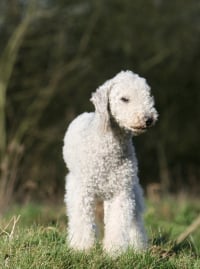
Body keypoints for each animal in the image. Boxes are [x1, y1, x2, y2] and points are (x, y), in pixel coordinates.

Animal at [62, 70, 158, 253]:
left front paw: (114, 251)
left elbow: (118, 222)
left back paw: (138, 247)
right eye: (124, 99)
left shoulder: (121, 191)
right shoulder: (82, 190)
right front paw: (81, 248)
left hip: (131, 188)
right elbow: (82, 221)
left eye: (148, 95)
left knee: (135, 220)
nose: (148, 119)